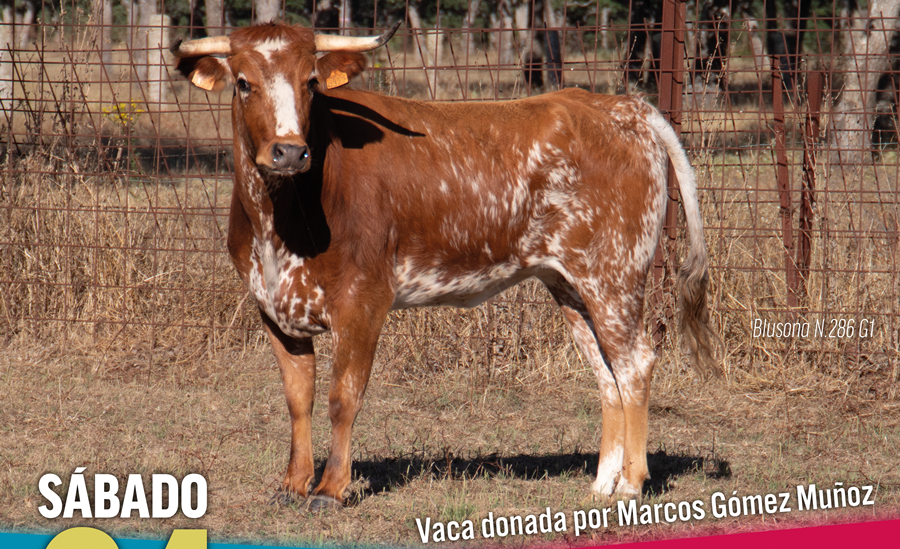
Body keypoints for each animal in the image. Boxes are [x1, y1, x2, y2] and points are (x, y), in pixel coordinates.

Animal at [170, 22, 720, 511]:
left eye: (310, 82)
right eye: (244, 82)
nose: (289, 151)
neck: (278, 221)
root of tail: (621, 105)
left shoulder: (363, 301)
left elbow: (342, 397)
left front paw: (330, 489)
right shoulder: (273, 308)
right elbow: (298, 399)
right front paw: (293, 483)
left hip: (614, 275)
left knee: (635, 364)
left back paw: (631, 484)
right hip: (569, 283)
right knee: (607, 375)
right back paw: (602, 483)